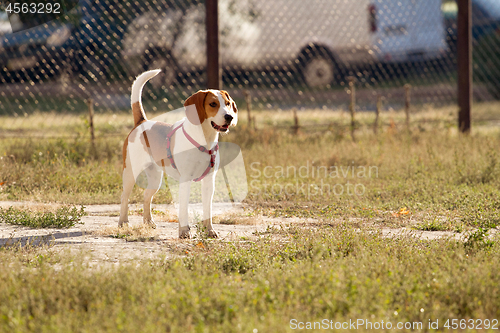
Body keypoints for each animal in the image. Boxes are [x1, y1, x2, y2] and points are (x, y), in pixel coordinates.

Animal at [120, 68, 239, 237]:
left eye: (228, 104)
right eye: (213, 104)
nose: (229, 116)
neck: (205, 141)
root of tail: (142, 122)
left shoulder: (209, 182)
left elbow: (207, 210)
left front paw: (209, 230)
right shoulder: (185, 180)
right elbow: (183, 209)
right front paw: (184, 231)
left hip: (155, 179)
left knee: (146, 196)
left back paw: (148, 222)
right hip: (130, 173)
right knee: (124, 197)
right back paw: (123, 222)